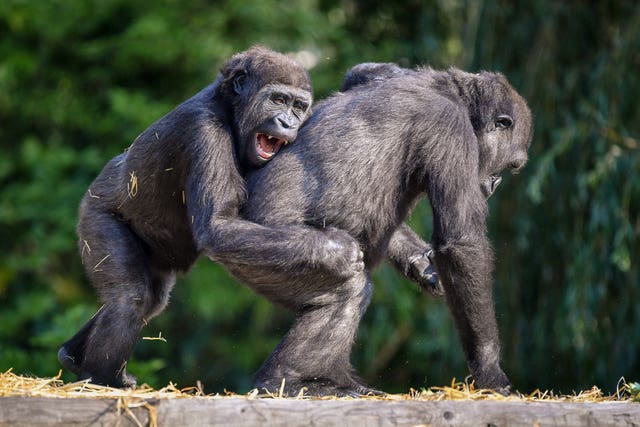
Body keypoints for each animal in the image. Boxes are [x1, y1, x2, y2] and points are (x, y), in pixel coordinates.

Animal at [226, 65, 536, 396]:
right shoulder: (450, 128)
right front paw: (490, 371)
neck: (458, 98)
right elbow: (461, 242)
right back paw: (287, 379)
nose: (495, 184)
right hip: (262, 250)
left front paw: (422, 264)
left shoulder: (384, 73)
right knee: (348, 287)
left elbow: (361, 72)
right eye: (510, 165)